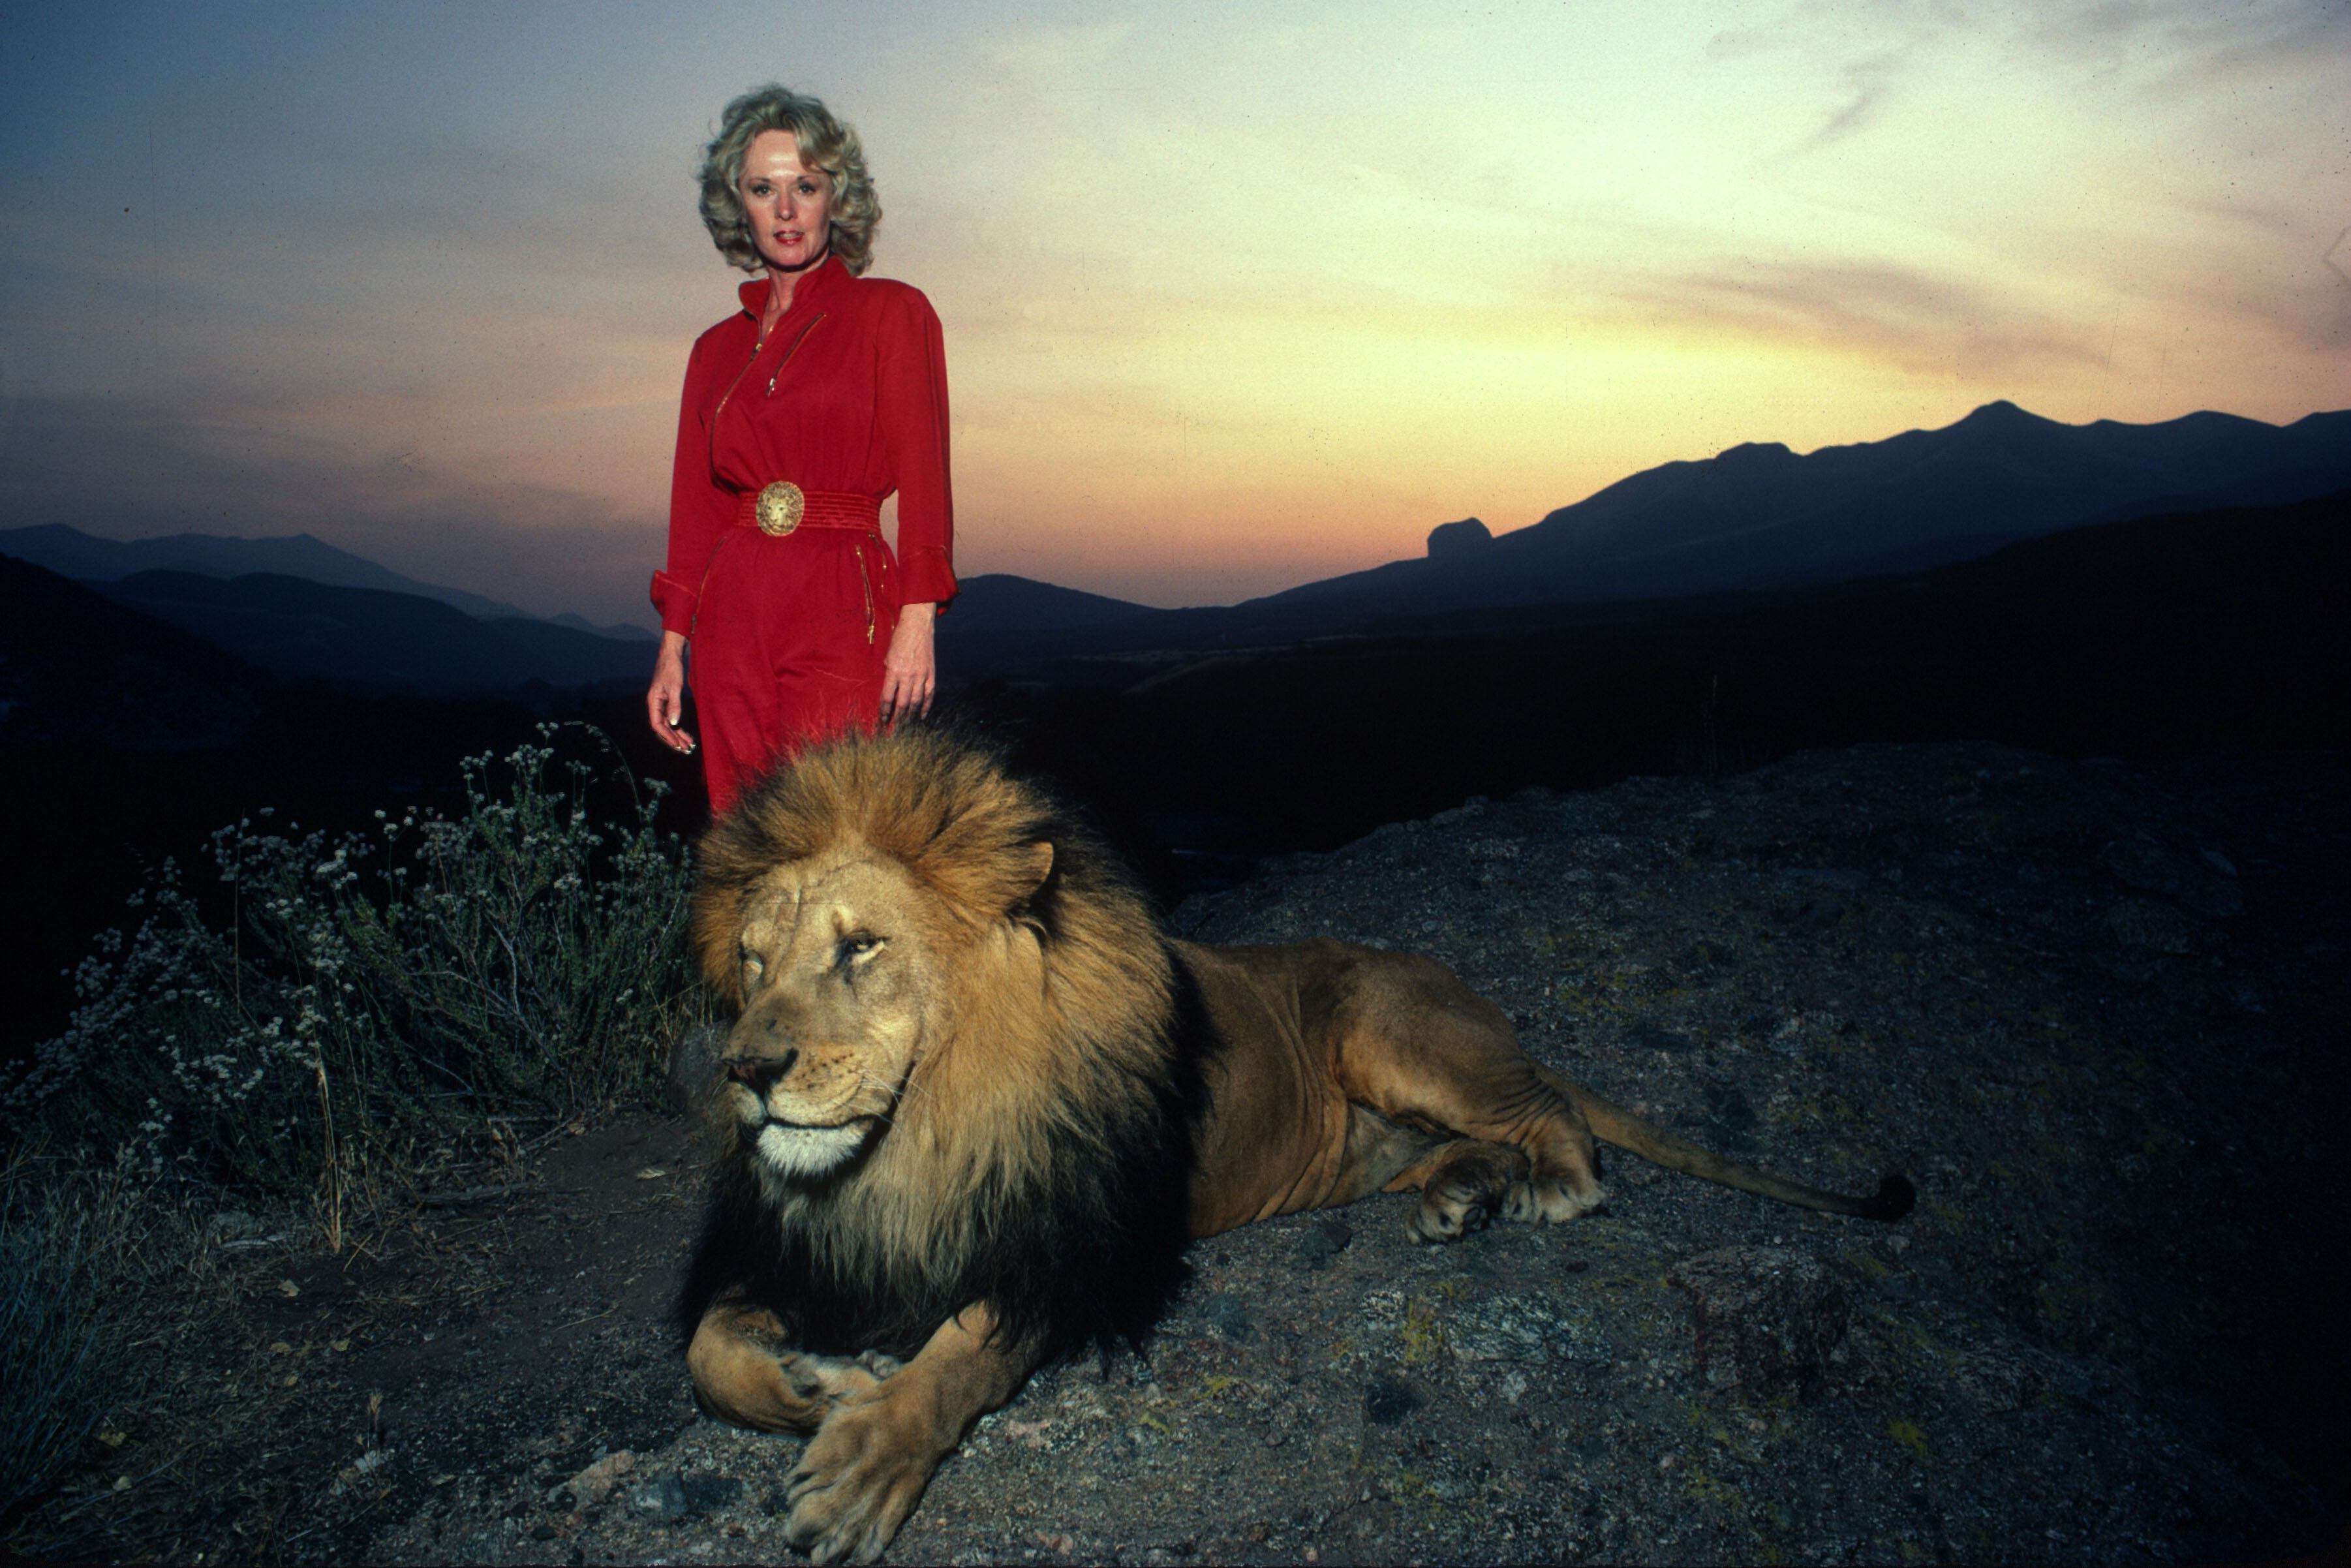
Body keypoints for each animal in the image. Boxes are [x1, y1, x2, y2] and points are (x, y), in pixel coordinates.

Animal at [681, 728, 1909, 1561]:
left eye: (862, 947)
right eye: (751, 958)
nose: (744, 1070)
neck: (915, 1141)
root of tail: (1470, 1000)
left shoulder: (1088, 1250)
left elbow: (960, 1353)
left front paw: (865, 1456)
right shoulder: (807, 1251)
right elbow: (710, 1350)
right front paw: (812, 1382)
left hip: (1390, 1027)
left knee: (1545, 1112)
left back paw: (1552, 1184)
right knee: (1468, 1142)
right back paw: (1463, 1193)